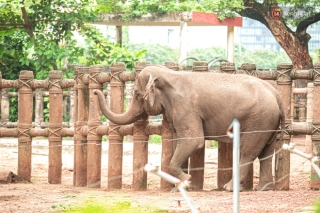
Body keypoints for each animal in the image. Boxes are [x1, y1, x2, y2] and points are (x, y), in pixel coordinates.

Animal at [93, 65, 284, 191]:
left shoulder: (185, 107)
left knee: (248, 152)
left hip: (259, 119)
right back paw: (263, 188)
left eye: (138, 95)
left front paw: (187, 180)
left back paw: (229, 188)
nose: (95, 92)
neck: (170, 75)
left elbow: (194, 140)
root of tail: (277, 95)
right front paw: (181, 185)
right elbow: (181, 141)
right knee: (266, 152)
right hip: (268, 122)